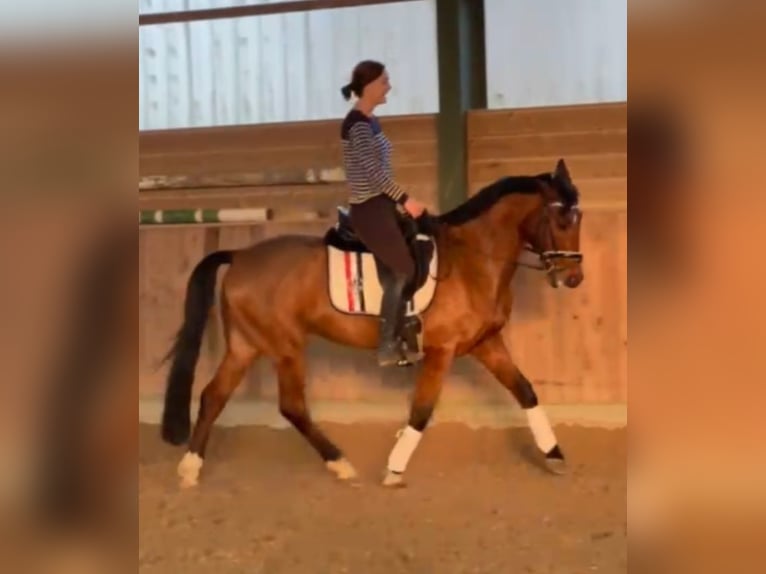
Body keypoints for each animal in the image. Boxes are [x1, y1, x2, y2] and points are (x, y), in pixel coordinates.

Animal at [160, 159, 584, 490]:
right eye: (561, 217)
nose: (574, 278)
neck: (472, 261)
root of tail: (240, 255)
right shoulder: (442, 350)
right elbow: (422, 410)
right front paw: (394, 469)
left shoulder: (486, 343)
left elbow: (525, 391)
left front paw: (555, 455)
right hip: (286, 346)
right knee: (292, 406)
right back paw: (341, 464)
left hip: (246, 344)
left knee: (213, 396)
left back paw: (190, 469)